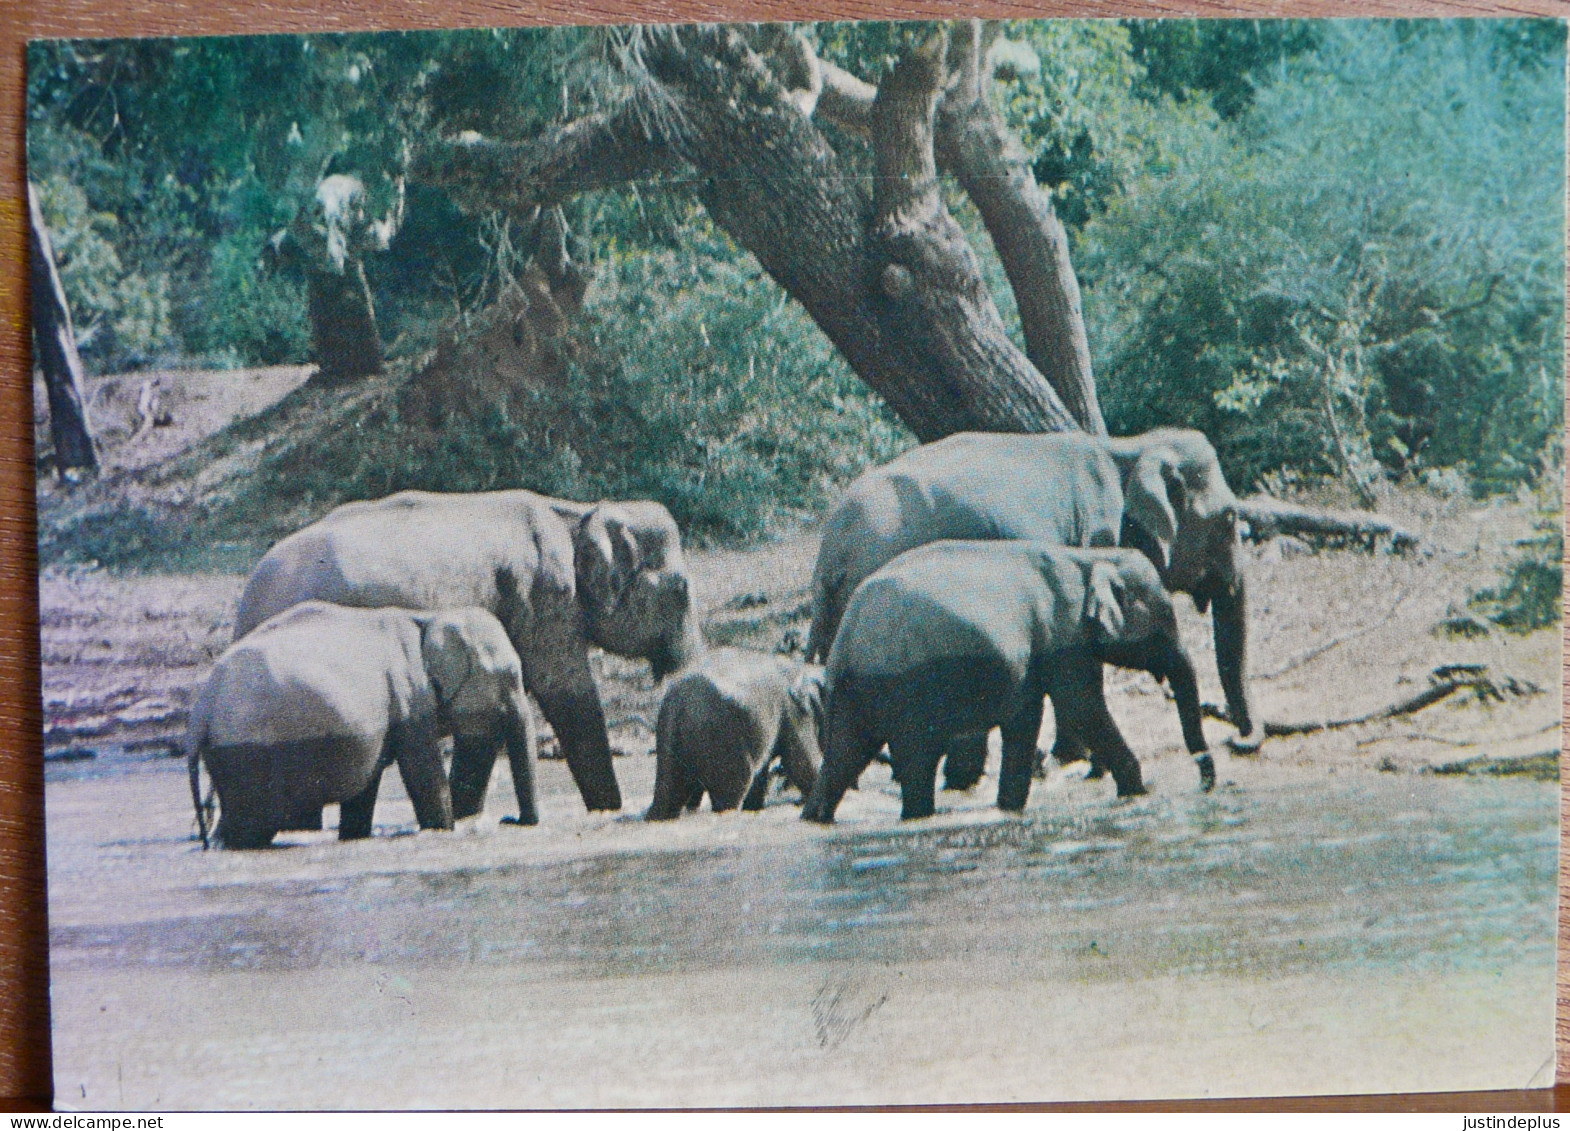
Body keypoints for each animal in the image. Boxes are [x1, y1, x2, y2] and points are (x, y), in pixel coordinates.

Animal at [185, 600, 533, 848]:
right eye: (511, 676)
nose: (509, 819)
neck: (428, 617)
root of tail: (202, 708)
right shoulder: (409, 698)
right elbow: (422, 770)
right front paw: (444, 830)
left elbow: (367, 782)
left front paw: (354, 836)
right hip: (247, 755)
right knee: (252, 824)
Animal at [229, 486, 703, 810]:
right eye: (681, 591)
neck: (577, 512)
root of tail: (248, 600)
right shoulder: (547, 601)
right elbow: (567, 695)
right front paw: (607, 810)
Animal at [643, 644, 828, 823]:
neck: (803, 668)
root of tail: (676, 699)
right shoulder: (794, 710)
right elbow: (801, 762)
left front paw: (754, 807)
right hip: (722, 737)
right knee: (731, 792)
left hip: (671, 739)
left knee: (669, 796)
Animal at [803, 540, 1205, 823]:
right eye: (1166, 618)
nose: (1205, 781)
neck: (1089, 557)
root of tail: (846, 636)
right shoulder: (1064, 637)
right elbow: (1082, 706)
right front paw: (1139, 792)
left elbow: (1026, 719)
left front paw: (1008, 810)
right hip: (905, 690)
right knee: (916, 761)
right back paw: (918, 816)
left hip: (853, 692)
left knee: (842, 758)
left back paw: (816, 819)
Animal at [810, 427, 1262, 791]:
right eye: (1228, 518)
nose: (1239, 740)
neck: (1129, 447)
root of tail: (832, 547)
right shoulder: (1094, 533)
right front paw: (1085, 763)